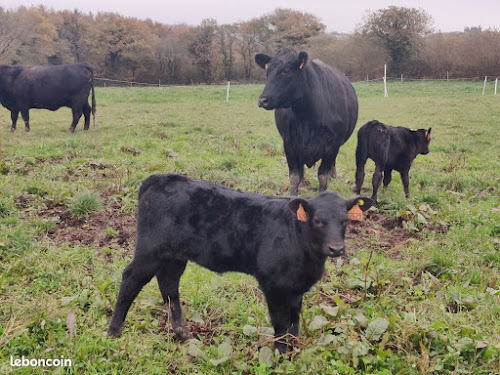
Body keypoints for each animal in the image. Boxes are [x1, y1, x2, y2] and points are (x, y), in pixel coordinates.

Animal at [110, 174, 376, 356]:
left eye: (345, 221)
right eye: (318, 220)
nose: (336, 249)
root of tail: (159, 178)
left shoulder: (295, 287)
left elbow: (294, 322)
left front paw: (293, 352)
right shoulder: (273, 284)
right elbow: (281, 323)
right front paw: (281, 356)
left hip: (174, 256)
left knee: (168, 285)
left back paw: (183, 334)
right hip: (149, 251)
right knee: (130, 279)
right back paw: (113, 332)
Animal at [256, 48, 358, 195]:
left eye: (285, 71)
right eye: (267, 72)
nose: (262, 100)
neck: (306, 117)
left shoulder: (332, 144)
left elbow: (323, 175)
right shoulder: (289, 143)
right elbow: (294, 176)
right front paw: (293, 194)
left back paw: (333, 177)